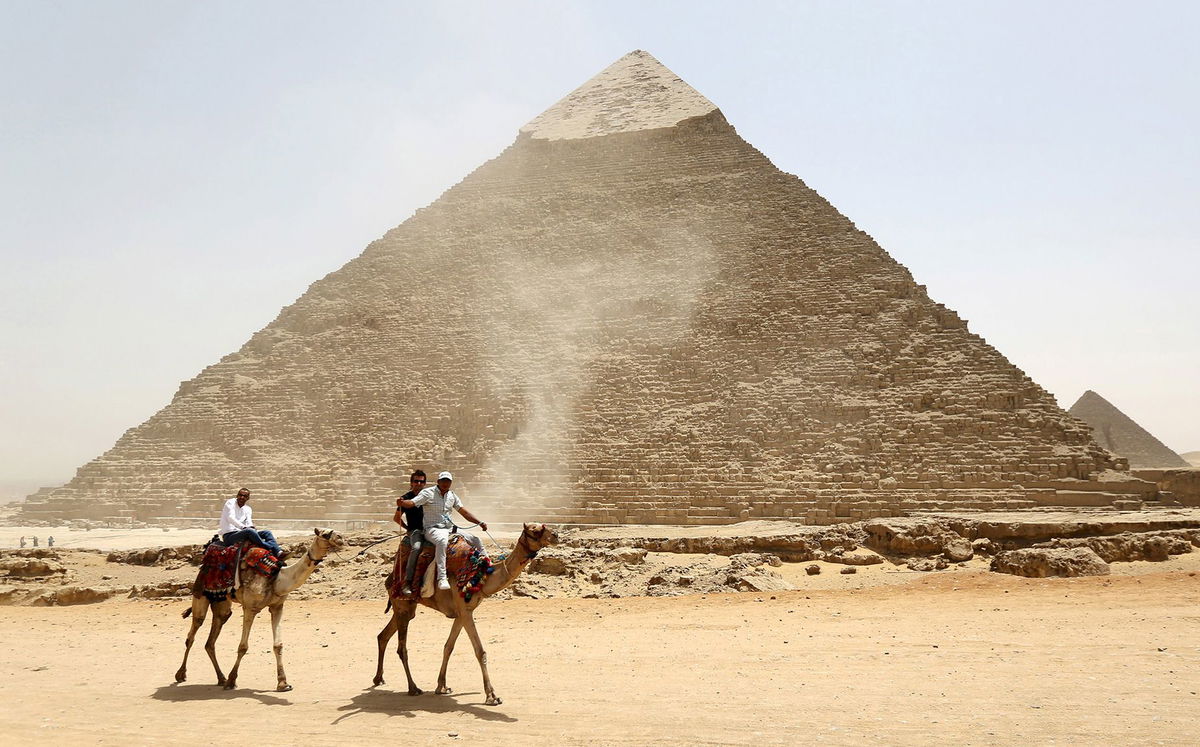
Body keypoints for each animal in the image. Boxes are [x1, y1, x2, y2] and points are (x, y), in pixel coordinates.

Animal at [175, 530, 350, 691]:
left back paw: (221, 678)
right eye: (325, 534)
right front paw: (232, 680)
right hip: (200, 595)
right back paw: (181, 675)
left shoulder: (277, 606)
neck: (276, 579)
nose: (340, 538)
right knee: (192, 633)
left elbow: (278, 645)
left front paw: (283, 683)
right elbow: (243, 647)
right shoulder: (250, 608)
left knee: (211, 640)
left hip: (221, 603)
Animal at [374, 523, 556, 706]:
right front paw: (492, 696)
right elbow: (480, 652)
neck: (478, 577)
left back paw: (378, 679)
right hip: (403, 606)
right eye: (534, 530)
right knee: (401, 648)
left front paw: (442, 686)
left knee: (383, 636)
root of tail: (391, 577)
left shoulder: (462, 613)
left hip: (405, 608)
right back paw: (413, 688)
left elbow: (448, 647)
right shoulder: (464, 611)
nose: (555, 535)